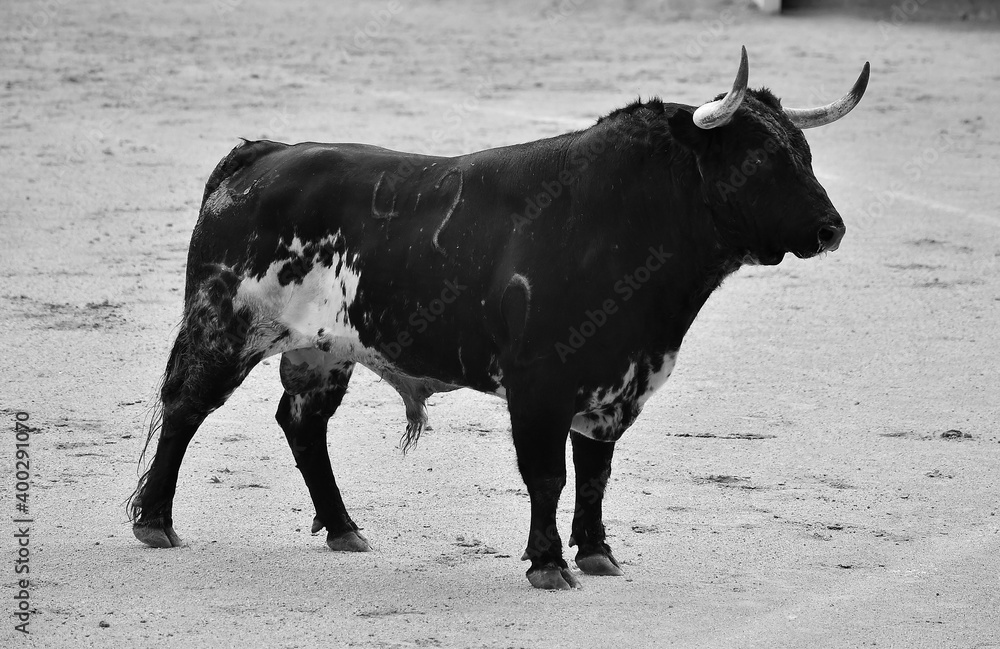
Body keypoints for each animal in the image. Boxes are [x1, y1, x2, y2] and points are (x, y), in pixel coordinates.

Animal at [129, 47, 869, 590]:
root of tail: (264, 154)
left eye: (804, 153)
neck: (625, 220)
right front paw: (548, 563)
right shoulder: (540, 385)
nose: (831, 229)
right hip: (224, 325)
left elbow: (594, 472)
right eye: (761, 158)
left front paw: (597, 553)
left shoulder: (614, 381)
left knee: (302, 424)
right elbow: (548, 474)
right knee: (187, 405)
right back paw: (155, 522)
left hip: (323, 349)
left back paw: (343, 527)